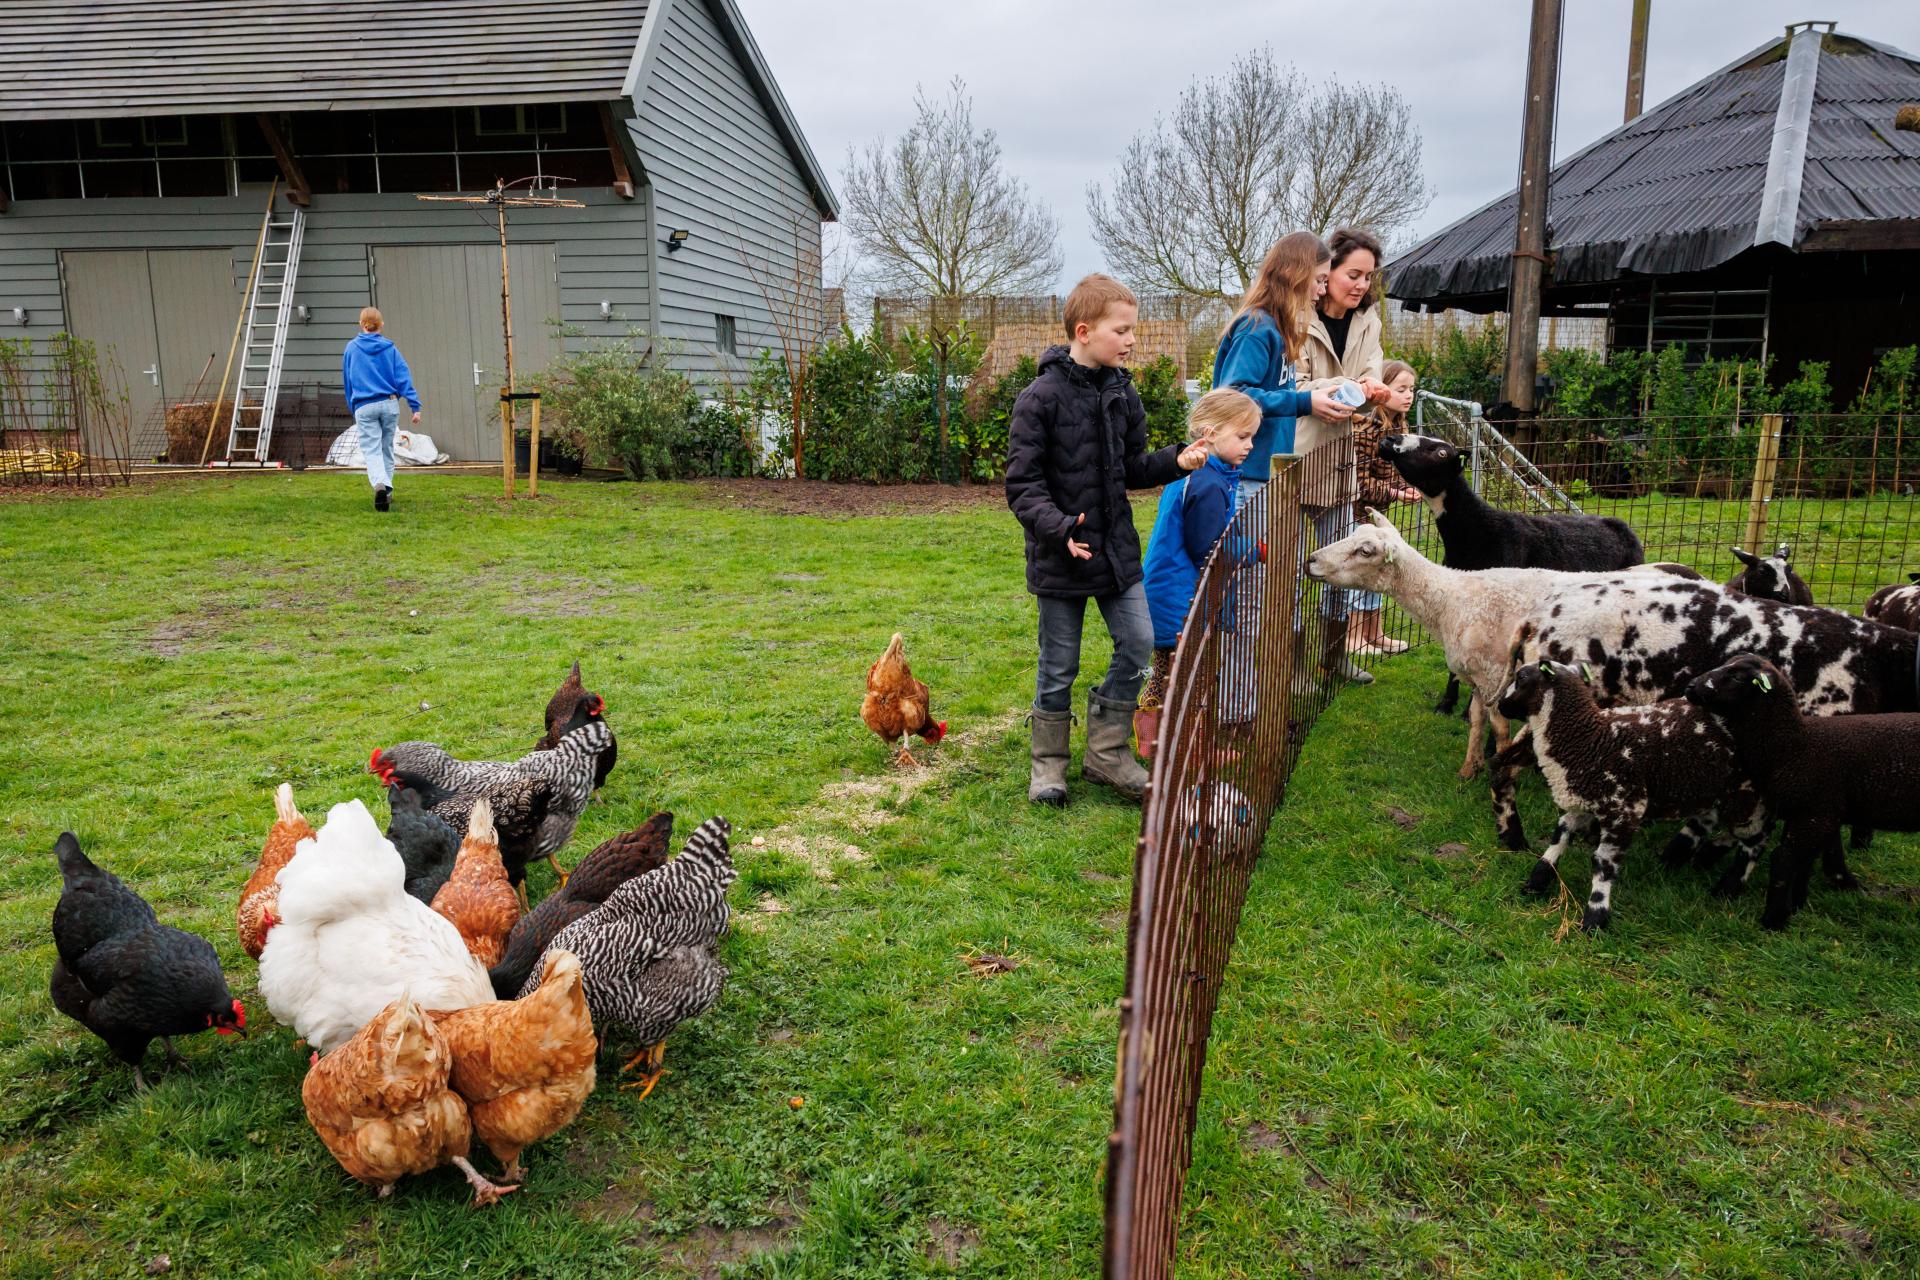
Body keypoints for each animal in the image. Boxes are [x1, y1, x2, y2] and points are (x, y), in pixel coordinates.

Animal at [1382, 433, 1651, 717]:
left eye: (1441, 453)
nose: (1390, 439)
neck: (1475, 533)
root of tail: (1620, 525)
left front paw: (1470, 711)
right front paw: (1446, 704)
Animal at [1489, 660, 1774, 932]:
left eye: (1521, 677)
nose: (1501, 706)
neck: (1587, 738)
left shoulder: (1623, 809)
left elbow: (1603, 863)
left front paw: (1595, 917)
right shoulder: (1584, 802)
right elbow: (1559, 836)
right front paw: (1536, 881)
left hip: (1745, 793)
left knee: (1755, 841)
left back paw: (1727, 887)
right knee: (1712, 823)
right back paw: (1680, 858)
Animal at [1681, 660, 1920, 932]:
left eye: (1738, 676)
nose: (1690, 686)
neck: (1793, 743)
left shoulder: (1816, 811)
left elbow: (1807, 859)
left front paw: (1796, 904)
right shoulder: (1814, 811)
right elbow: (1795, 858)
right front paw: (1785, 912)